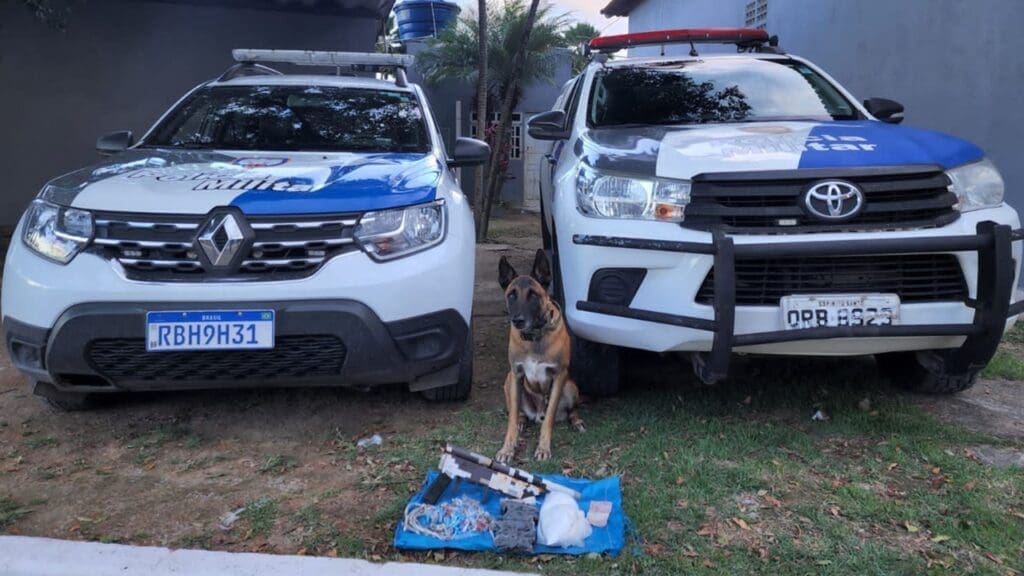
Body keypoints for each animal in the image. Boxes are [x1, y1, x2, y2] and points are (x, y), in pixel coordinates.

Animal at [495, 248, 585, 461]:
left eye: (533, 295)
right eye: (511, 295)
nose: (518, 320)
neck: (534, 338)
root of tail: (537, 413)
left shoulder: (559, 376)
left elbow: (550, 417)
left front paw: (543, 448)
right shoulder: (516, 374)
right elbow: (511, 420)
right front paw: (507, 449)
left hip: (571, 387)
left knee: (570, 411)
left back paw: (576, 422)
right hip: (508, 381)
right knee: (518, 412)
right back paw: (522, 420)